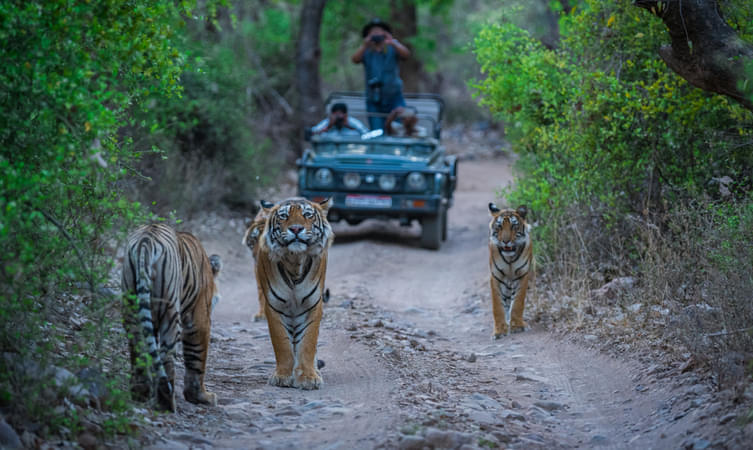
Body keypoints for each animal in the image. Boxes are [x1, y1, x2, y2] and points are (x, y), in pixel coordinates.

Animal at [120, 223, 220, 410]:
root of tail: (146, 241)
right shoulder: (199, 318)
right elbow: (197, 357)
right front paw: (202, 397)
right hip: (170, 312)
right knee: (166, 356)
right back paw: (167, 402)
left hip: (131, 307)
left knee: (139, 349)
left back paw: (141, 393)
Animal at [254, 197, 334, 390]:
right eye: (284, 216)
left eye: (307, 215)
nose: (296, 229)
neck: (294, 261)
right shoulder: (274, 306)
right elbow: (281, 342)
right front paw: (282, 376)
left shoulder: (313, 305)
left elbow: (308, 342)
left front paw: (308, 377)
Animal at [484, 204, 532, 338]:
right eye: (499, 226)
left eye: (513, 226)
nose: (505, 241)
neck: (510, 258)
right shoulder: (496, 277)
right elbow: (497, 306)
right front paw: (499, 331)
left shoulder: (522, 276)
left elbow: (517, 303)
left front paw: (518, 326)